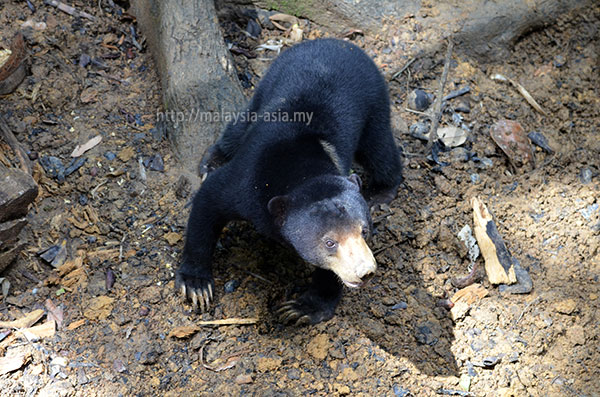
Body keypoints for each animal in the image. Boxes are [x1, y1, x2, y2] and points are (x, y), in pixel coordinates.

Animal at [178, 37, 404, 324]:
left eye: (364, 230)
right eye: (329, 242)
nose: (366, 272)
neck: (298, 169)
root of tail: (336, 42)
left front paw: (301, 308)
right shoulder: (245, 183)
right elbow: (209, 201)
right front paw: (197, 286)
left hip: (374, 100)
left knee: (379, 149)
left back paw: (380, 193)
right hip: (268, 84)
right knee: (240, 125)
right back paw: (214, 159)